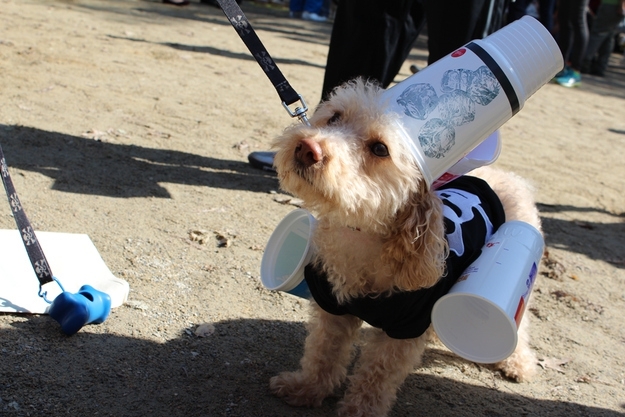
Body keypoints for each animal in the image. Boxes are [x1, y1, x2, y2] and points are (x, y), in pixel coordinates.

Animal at [270, 79, 540, 416]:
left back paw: (518, 364)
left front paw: (360, 412)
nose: (308, 148)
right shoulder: (332, 307)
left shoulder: (403, 331)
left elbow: (376, 378)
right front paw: (305, 389)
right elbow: (322, 352)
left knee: (523, 322)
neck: (362, 233)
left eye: (379, 149)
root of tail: (506, 175)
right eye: (334, 118)